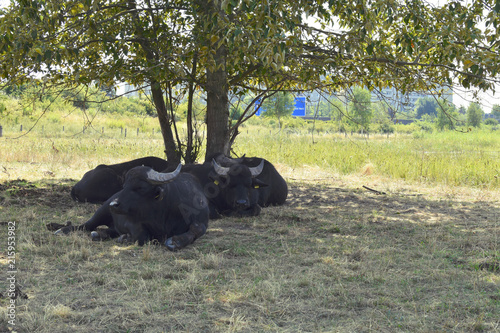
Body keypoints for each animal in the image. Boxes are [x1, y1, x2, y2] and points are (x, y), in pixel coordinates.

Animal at [54, 162, 209, 250]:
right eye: (124, 186)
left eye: (140, 187)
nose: (113, 204)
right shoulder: (132, 222)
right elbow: (142, 236)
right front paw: (126, 238)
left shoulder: (202, 221)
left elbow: (196, 228)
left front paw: (176, 242)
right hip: (101, 211)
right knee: (86, 225)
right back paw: (62, 230)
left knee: (107, 230)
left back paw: (99, 234)